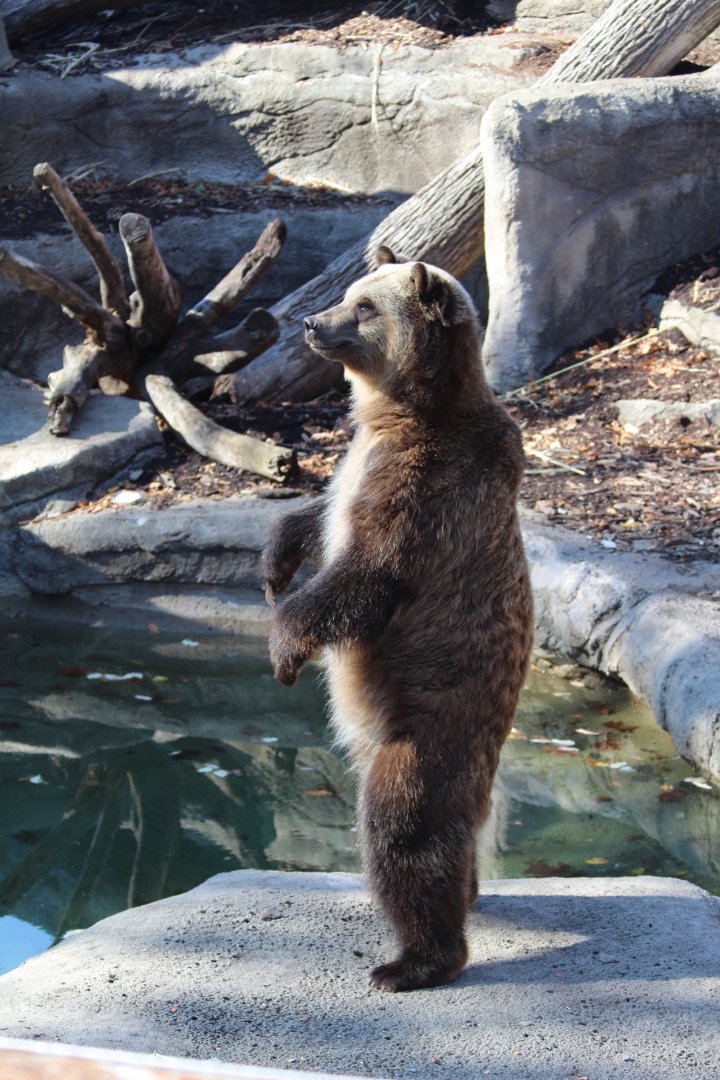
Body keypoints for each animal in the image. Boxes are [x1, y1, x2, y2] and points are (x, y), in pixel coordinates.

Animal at [262, 247, 533, 992]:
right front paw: (274, 560)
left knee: (404, 827)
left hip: (430, 730)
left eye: (363, 307)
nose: (310, 321)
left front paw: (284, 647)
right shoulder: (357, 467)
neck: (404, 413)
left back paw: (414, 959)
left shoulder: (428, 492)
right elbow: (317, 517)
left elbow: (367, 579)